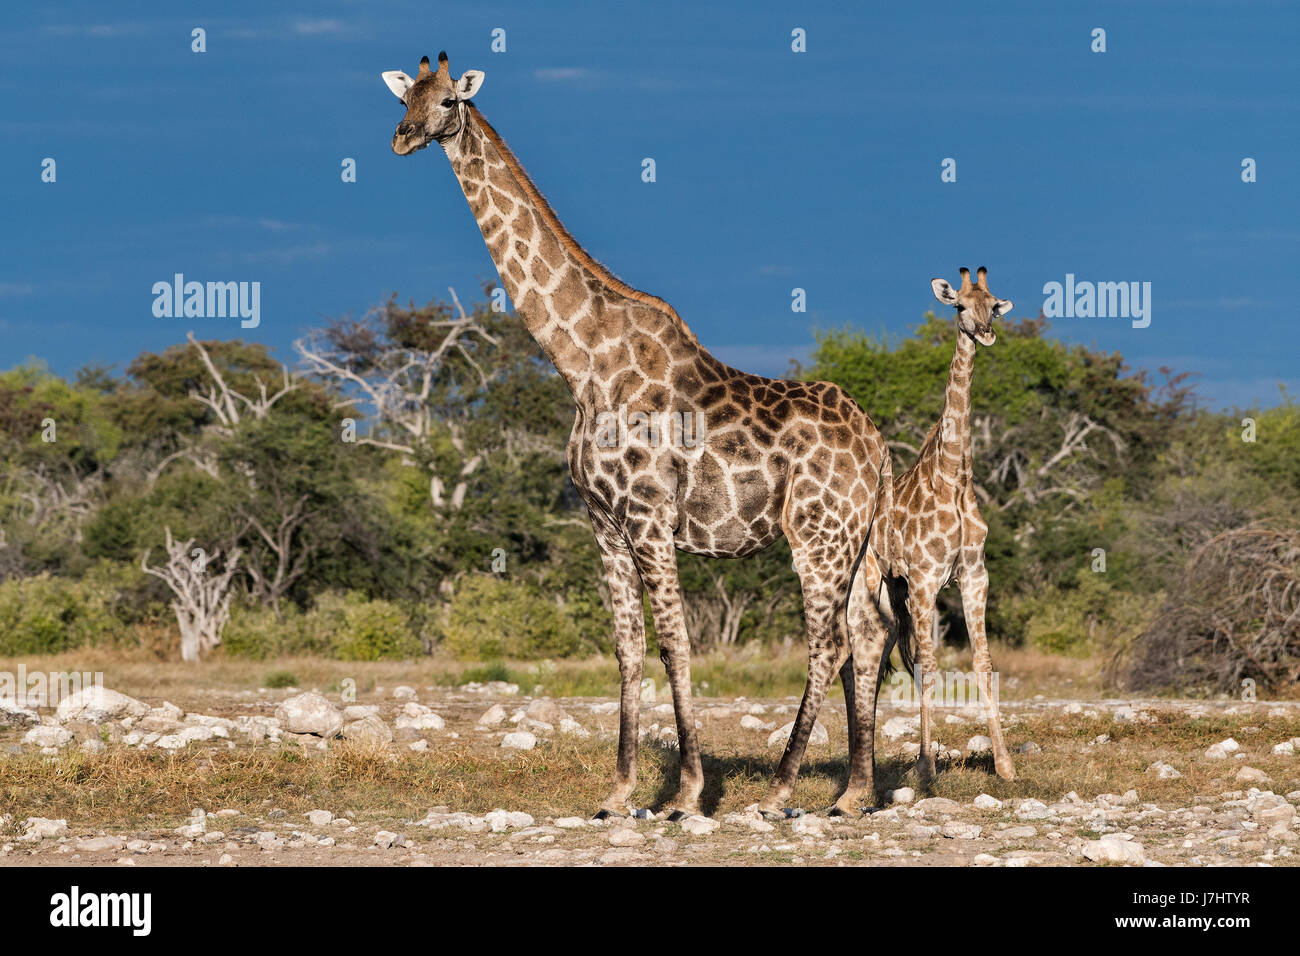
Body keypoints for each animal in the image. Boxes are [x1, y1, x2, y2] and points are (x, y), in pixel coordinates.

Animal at [380, 52, 895, 819]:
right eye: (403, 98)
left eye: (447, 100)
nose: (403, 137)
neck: (581, 362)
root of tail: (881, 449)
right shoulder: (603, 523)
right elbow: (626, 649)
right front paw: (619, 791)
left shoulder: (651, 518)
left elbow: (676, 646)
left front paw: (686, 793)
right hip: (853, 539)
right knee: (867, 633)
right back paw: (852, 793)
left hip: (817, 536)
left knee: (829, 643)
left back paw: (781, 788)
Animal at [877, 267, 1015, 783]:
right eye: (958, 306)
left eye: (994, 306)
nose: (986, 332)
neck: (952, 478)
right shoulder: (925, 579)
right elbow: (930, 667)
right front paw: (925, 766)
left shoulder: (974, 575)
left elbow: (983, 661)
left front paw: (1005, 764)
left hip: (892, 592)